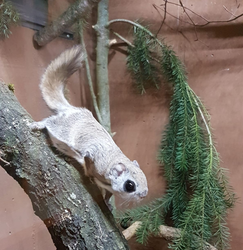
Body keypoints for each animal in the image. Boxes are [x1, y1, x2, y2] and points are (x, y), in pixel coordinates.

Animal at [30, 46, 148, 204]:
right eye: (130, 185)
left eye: (145, 178)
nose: (144, 194)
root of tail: (73, 110)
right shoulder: (94, 157)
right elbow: (87, 161)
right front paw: (89, 175)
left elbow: (108, 194)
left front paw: (107, 202)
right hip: (62, 129)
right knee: (50, 121)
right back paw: (38, 125)